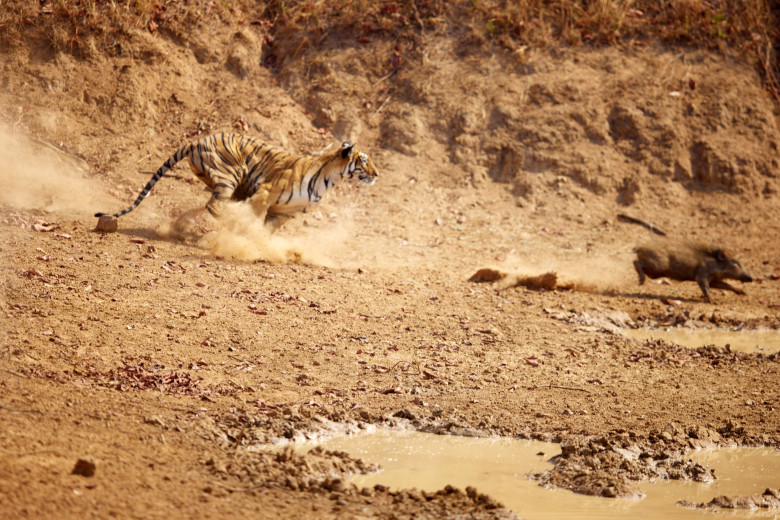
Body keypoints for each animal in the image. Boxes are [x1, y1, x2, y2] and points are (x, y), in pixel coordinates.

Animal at [93, 133, 380, 231]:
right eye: (364, 160)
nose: (377, 174)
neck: (329, 180)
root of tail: (196, 140)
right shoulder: (265, 194)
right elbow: (254, 220)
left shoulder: (284, 214)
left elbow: (267, 230)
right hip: (231, 173)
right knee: (213, 206)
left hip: (225, 181)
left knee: (209, 204)